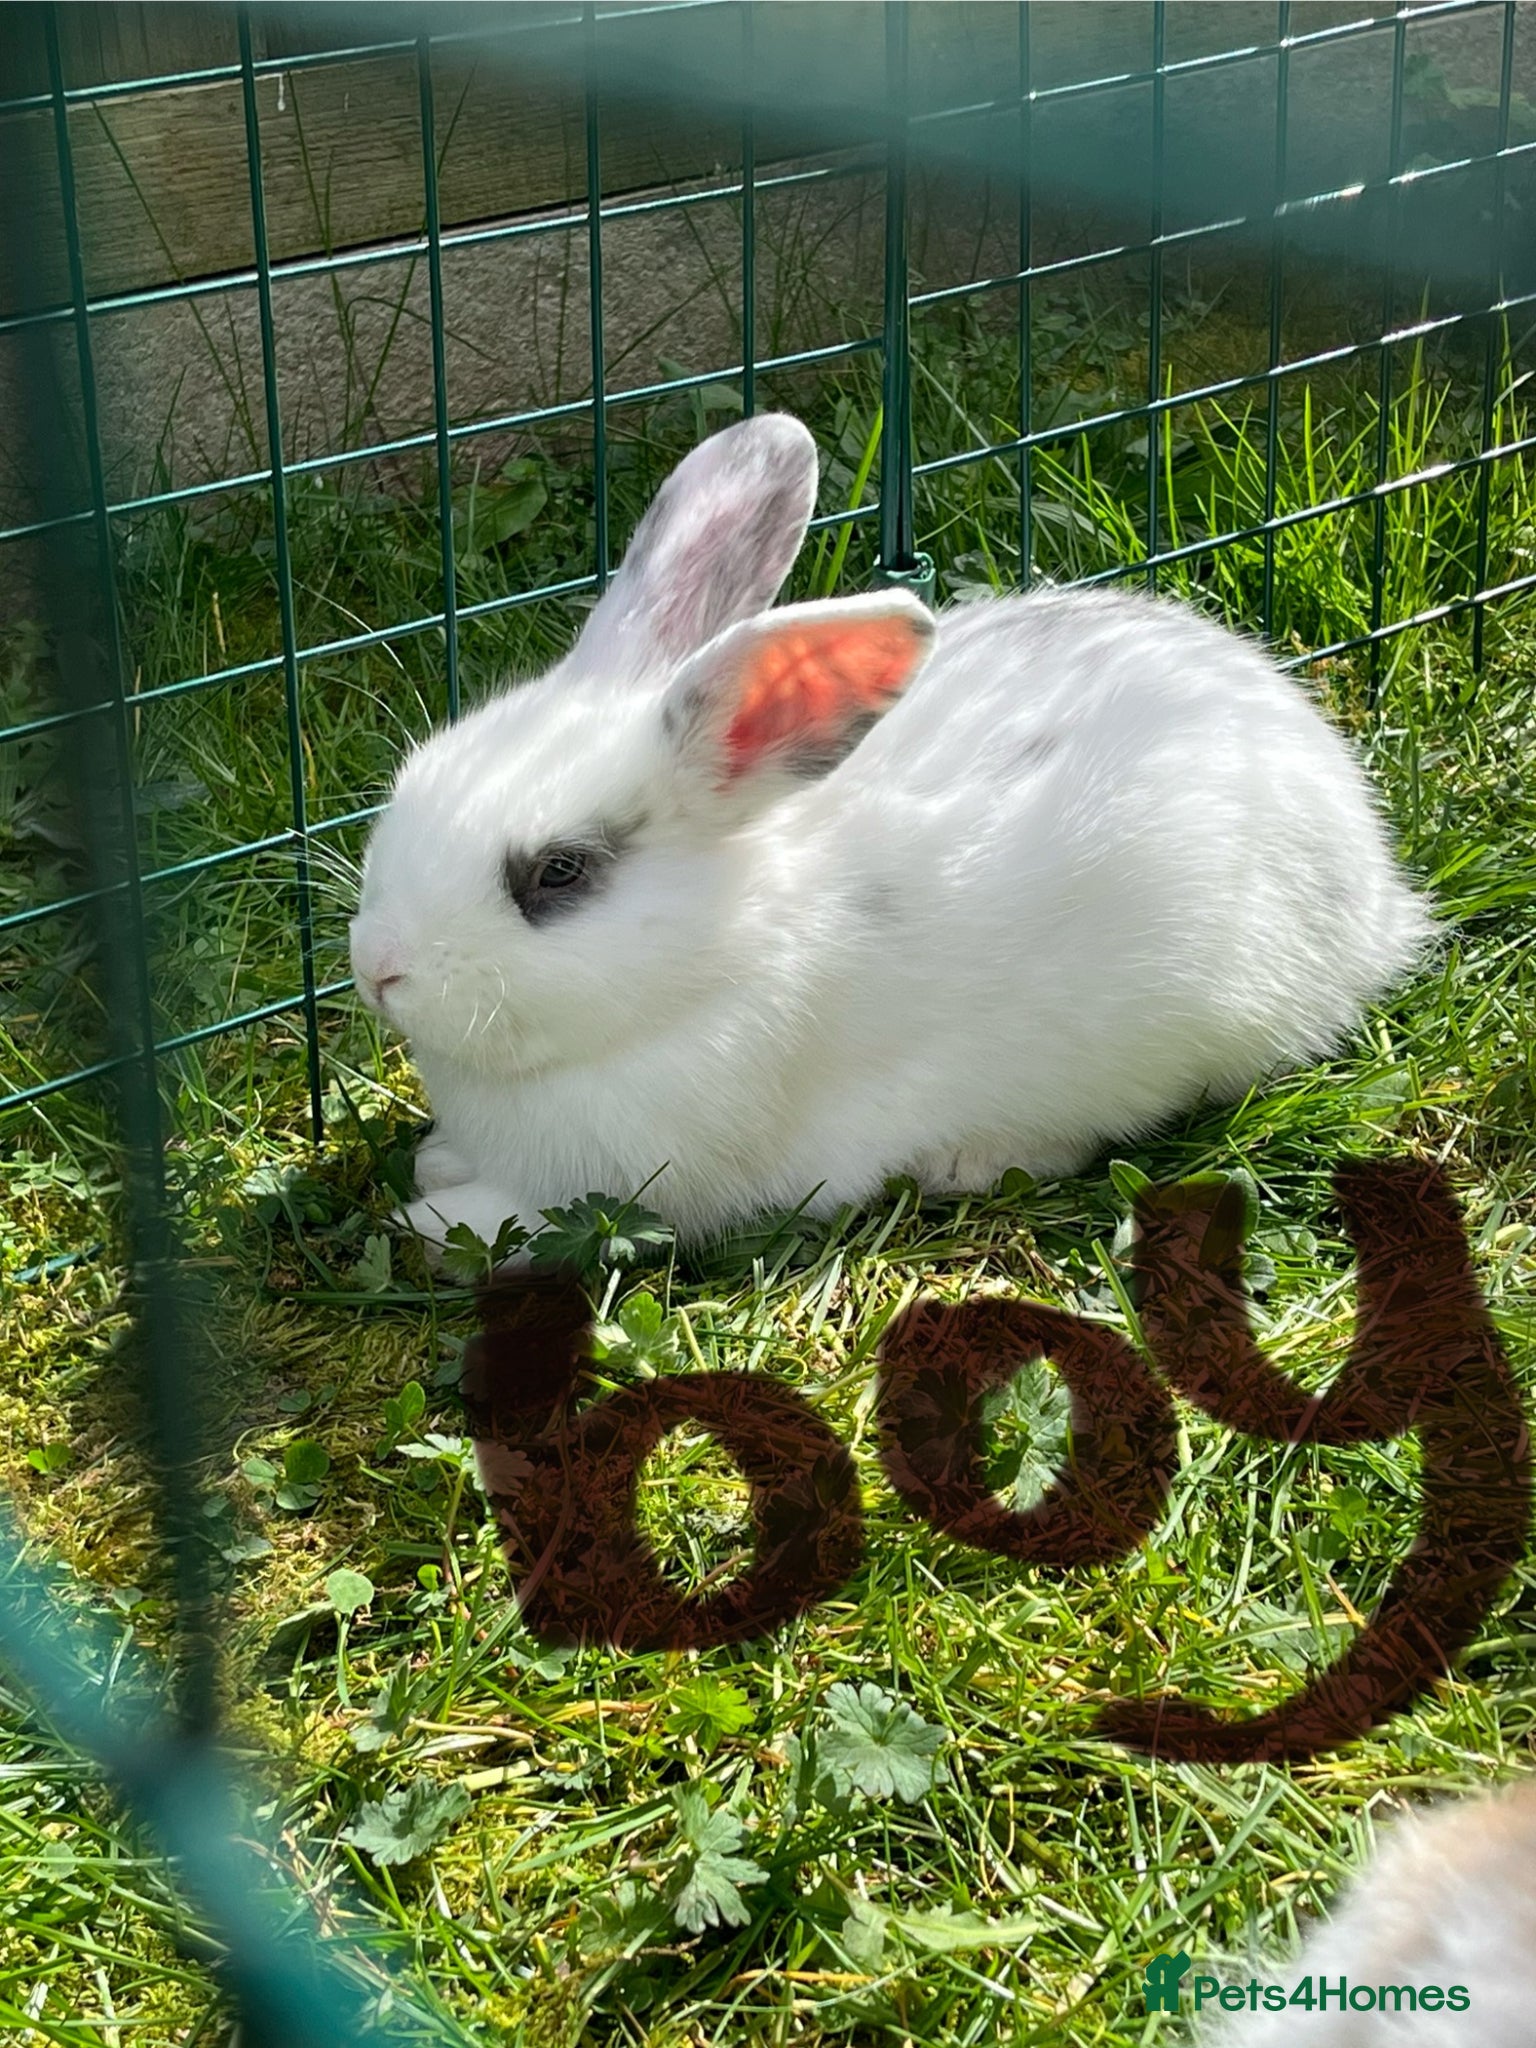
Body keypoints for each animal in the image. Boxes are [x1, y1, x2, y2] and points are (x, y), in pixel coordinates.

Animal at [348, 411, 1431, 1261]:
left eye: (560, 873)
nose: (376, 967)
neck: (717, 957)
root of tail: (1376, 888)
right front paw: (436, 1160)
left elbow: (520, 1215)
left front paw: (430, 1216)